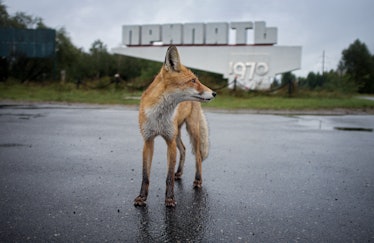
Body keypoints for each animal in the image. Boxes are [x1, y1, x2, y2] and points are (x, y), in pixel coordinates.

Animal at [134, 45, 216, 207]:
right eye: (193, 80)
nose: (214, 93)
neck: (159, 116)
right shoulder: (148, 140)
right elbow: (145, 175)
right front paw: (142, 197)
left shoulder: (169, 142)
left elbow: (168, 177)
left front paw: (170, 199)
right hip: (177, 133)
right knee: (183, 149)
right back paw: (179, 172)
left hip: (192, 130)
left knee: (197, 156)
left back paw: (198, 180)